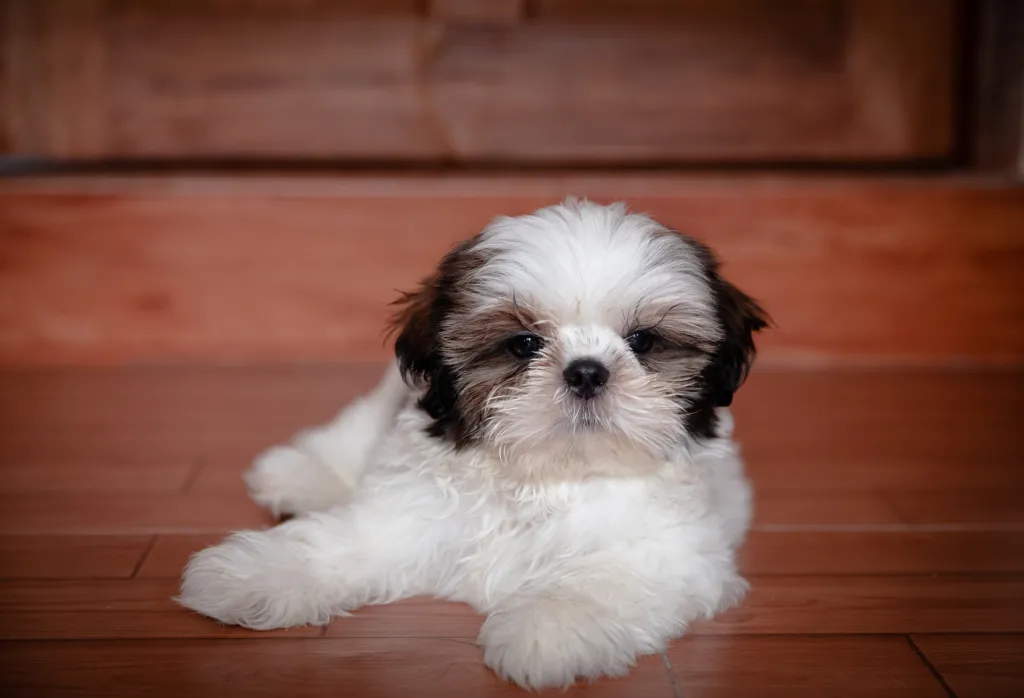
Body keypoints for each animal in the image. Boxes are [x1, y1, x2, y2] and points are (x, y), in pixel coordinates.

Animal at [178, 198, 770, 687]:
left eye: (643, 341)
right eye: (523, 344)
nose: (586, 372)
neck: (547, 476)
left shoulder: (667, 555)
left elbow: (599, 582)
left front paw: (546, 633)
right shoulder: (404, 513)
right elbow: (340, 542)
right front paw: (249, 577)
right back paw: (301, 474)